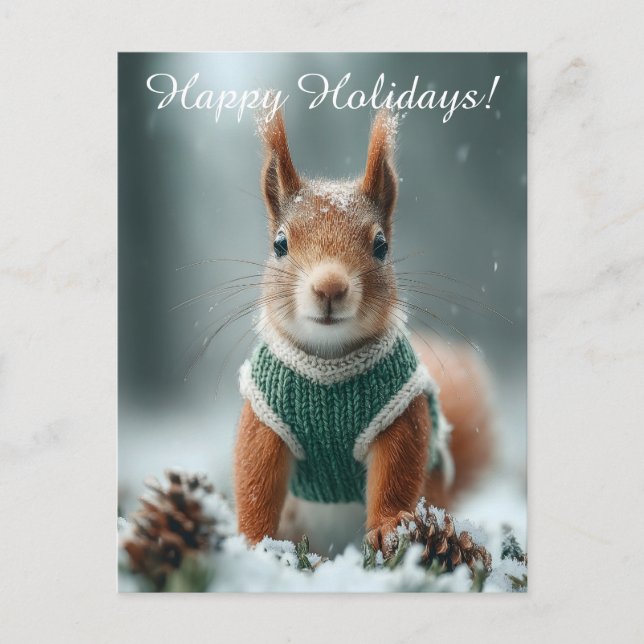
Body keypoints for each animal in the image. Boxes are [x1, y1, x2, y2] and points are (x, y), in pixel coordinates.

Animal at [234, 108, 492, 556]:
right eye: (280, 244)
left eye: (381, 246)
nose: (330, 288)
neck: (329, 361)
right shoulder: (266, 413)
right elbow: (256, 478)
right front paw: (253, 544)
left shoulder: (398, 408)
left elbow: (397, 471)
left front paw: (389, 528)